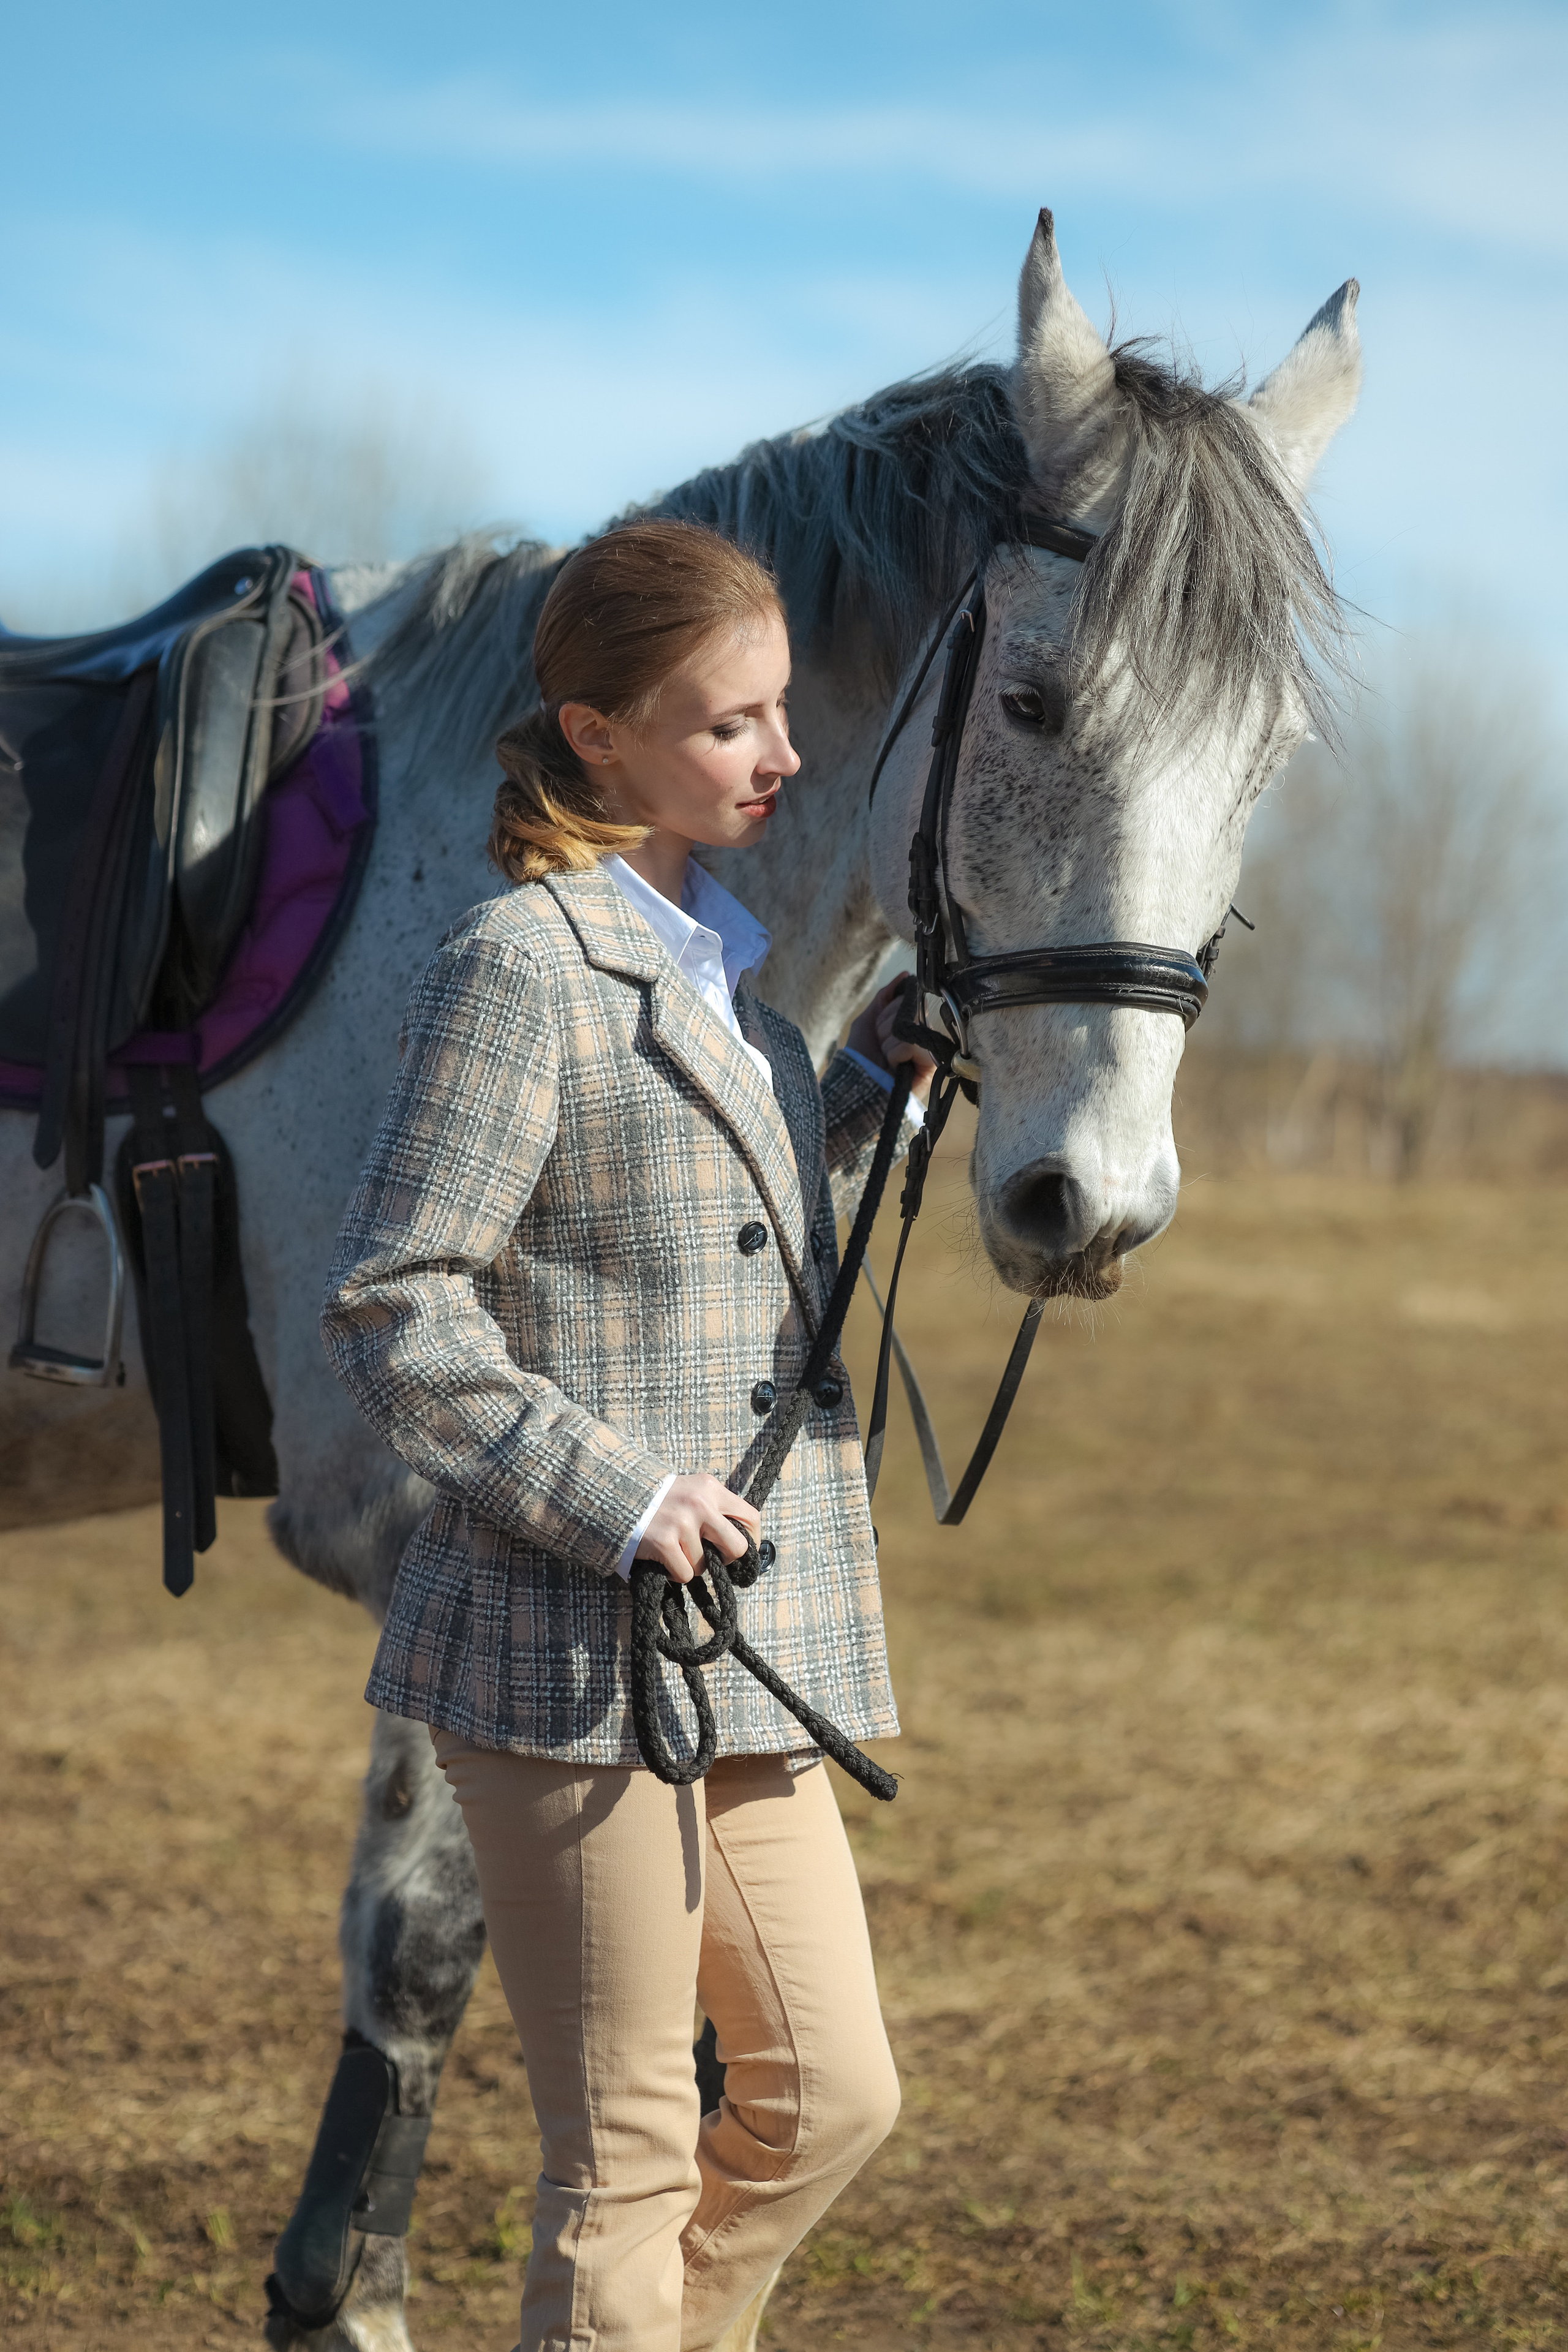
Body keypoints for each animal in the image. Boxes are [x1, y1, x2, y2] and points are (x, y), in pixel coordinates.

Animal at [0, 210, 1360, 2349]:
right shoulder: (451, 1504)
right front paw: (344, 2297)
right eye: (1038, 705)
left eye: (1267, 755)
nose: (1092, 1202)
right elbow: (427, 1945)